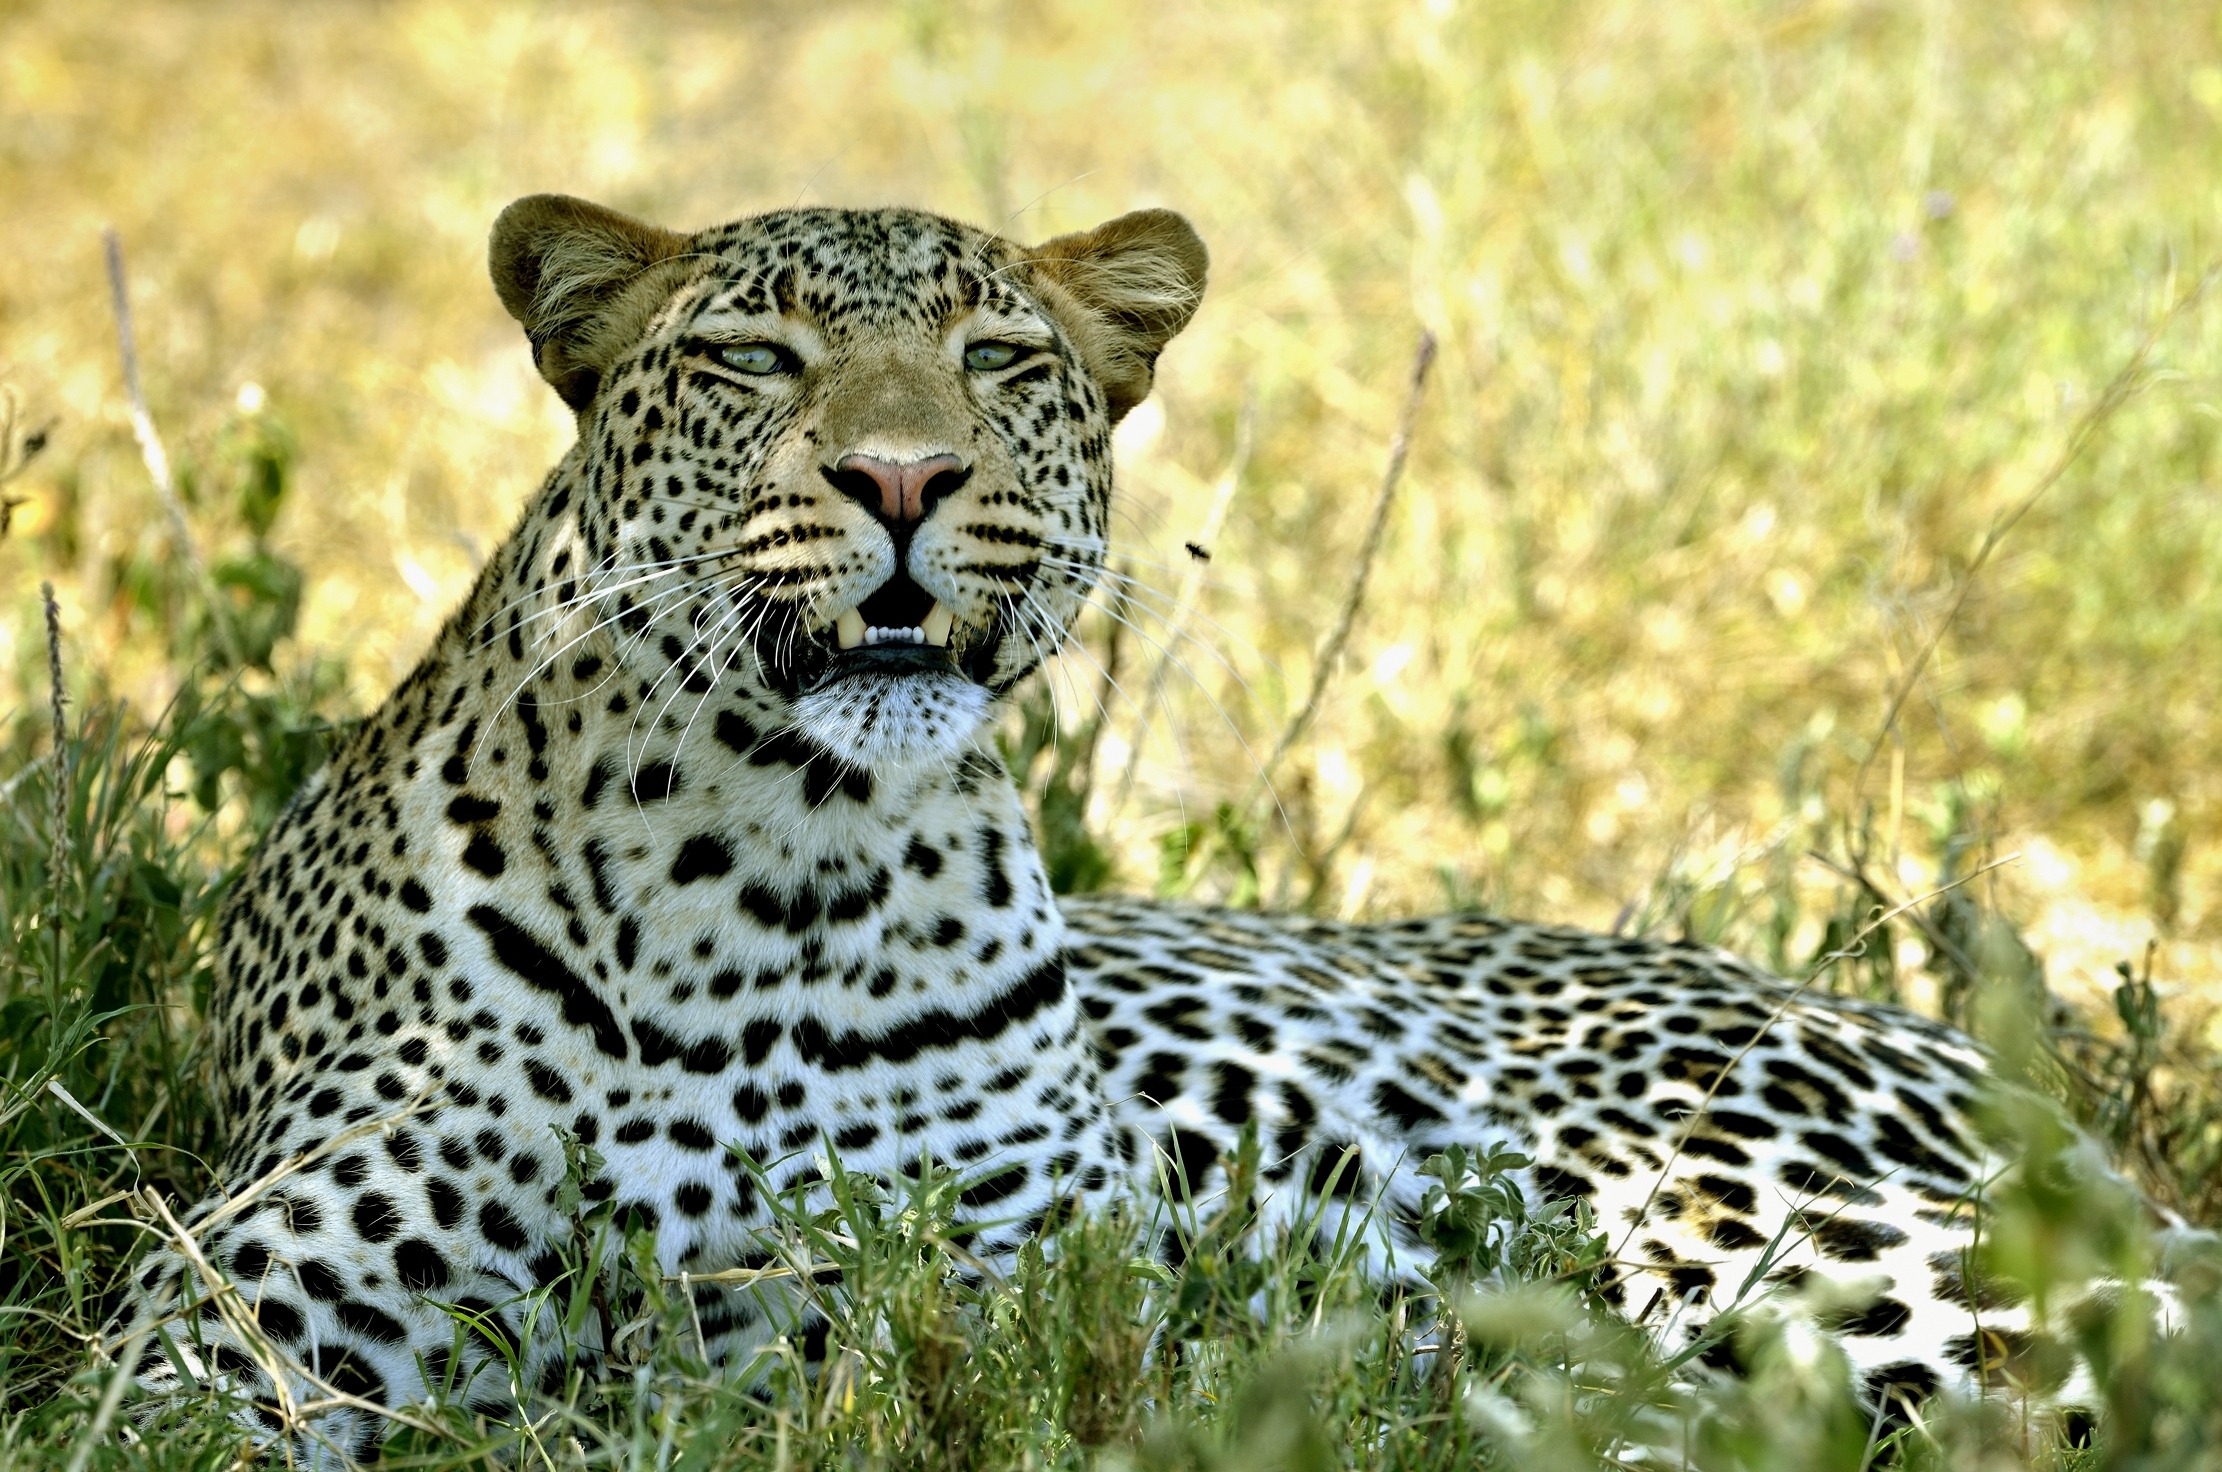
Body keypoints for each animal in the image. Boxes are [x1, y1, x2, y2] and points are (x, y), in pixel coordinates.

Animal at [105, 191, 2124, 1459]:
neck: (777, 872)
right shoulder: (241, 1320)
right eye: (754, 358)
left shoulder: (1031, 1314)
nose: (901, 477)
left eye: (1000, 360)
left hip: (1753, 1233)